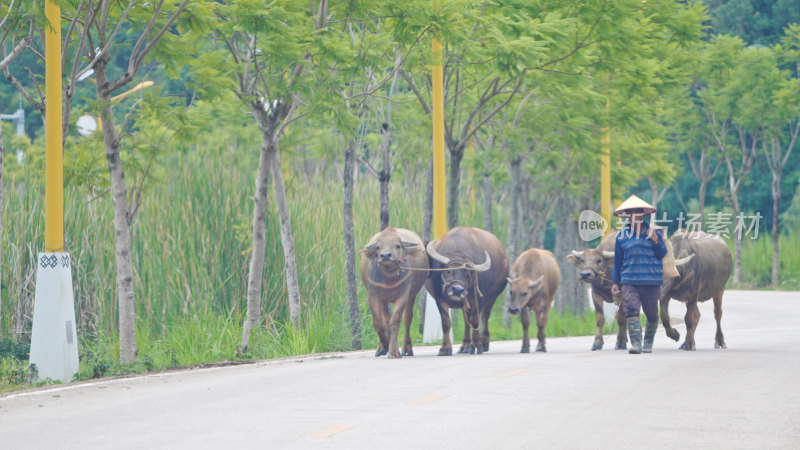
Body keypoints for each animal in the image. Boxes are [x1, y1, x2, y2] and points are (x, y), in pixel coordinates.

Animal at [360, 229, 428, 358]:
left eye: (397, 246)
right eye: (378, 247)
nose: (385, 255)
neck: (389, 279)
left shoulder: (403, 297)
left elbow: (395, 322)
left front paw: (394, 351)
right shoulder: (373, 297)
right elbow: (378, 323)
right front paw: (385, 345)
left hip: (411, 296)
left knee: (407, 319)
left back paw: (406, 349)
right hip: (384, 301)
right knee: (385, 319)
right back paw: (381, 348)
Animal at [424, 227, 506, 356]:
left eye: (468, 275)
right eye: (449, 271)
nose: (457, 290)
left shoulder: (478, 299)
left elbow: (476, 321)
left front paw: (476, 346)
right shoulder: (440, 299)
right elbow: (446, 323)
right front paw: (445, 348)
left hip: (491, 298)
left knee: (484, 317)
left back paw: (483, 343)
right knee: (467, 321)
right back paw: (465, 346)